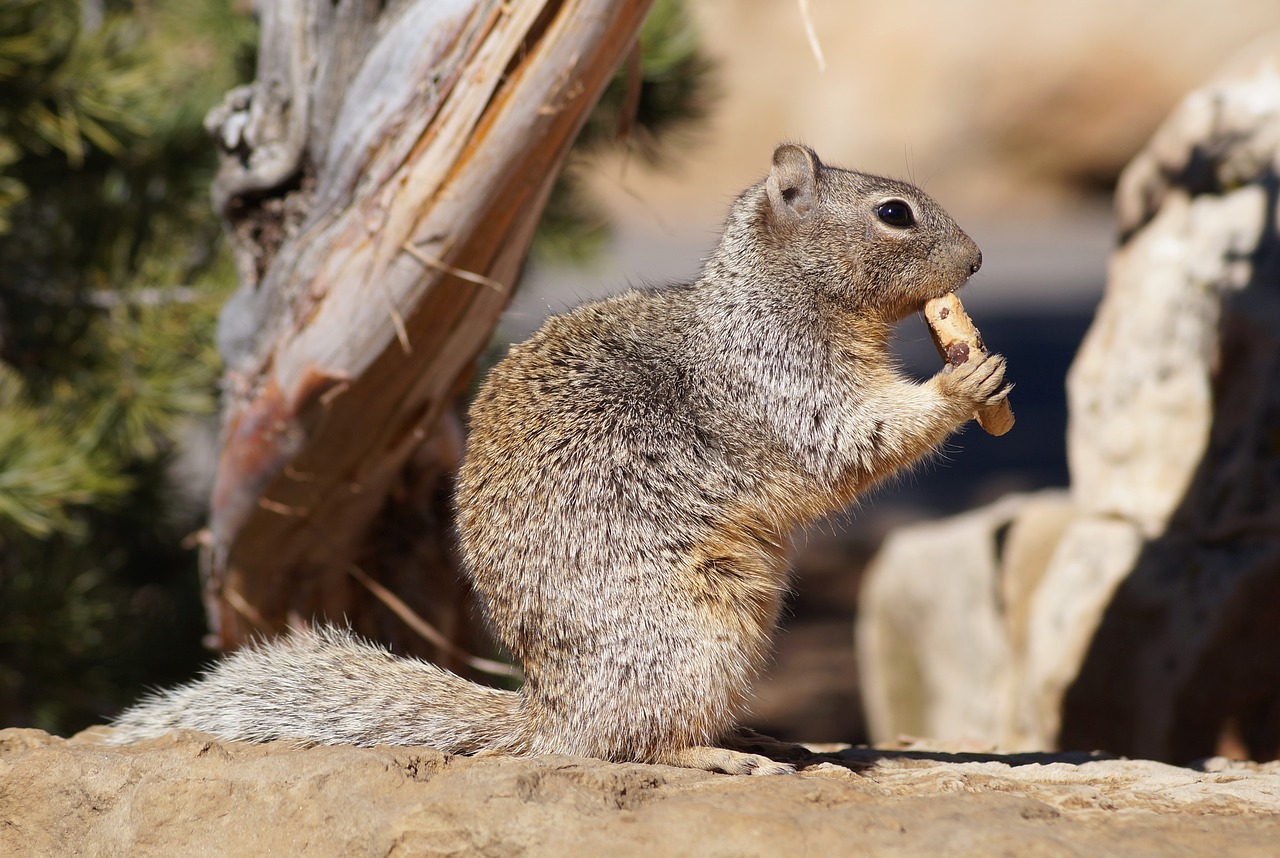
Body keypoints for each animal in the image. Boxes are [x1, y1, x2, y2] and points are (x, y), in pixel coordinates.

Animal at [110, 144, 1008, 778]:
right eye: (893, 212)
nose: (976, 260)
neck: (776, 297)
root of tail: (550, 715)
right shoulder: (782, 383)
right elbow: (850, 439)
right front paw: (964, 381)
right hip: (695, 636)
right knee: (625, 745)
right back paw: (719, 753)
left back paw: (762, 739)